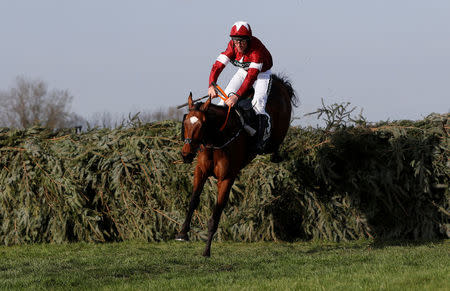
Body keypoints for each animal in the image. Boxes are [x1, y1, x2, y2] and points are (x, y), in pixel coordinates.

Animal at [178, 74, 298, 256]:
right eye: (185, 122)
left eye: (201, 124)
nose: (186, 154)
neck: (217, 139)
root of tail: (280, 82)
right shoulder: (201, 171)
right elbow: (193, 200)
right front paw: (183, 233)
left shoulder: (226, 178)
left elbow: (216, 213)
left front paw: (207, 250)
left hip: (278, 128)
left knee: (275, 142)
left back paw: (275, 154)